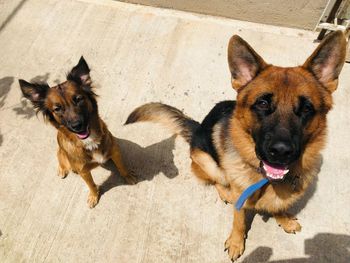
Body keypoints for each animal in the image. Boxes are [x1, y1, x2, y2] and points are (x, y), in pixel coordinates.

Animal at [18, 57, 137, 208]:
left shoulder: (115, 151)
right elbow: (91, 184)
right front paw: (94, 195)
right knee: (61, 158)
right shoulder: (83, 171)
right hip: (63, 154)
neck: (89, 141)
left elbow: (122, 166)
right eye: (57, 108)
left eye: (78, 99)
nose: (77, 126)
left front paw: (128, 176)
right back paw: (62, 169)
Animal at [126, 31, 348, 262]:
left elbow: (279, 205)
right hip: (209, 163)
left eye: (306, 109)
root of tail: (197, 129)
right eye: (262, 104)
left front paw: (284, 219)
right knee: (216, 180)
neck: (266, 180)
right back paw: (226, 193)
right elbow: (239, 222)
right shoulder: (240, 200)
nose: (280, 151)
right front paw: (235, 243)